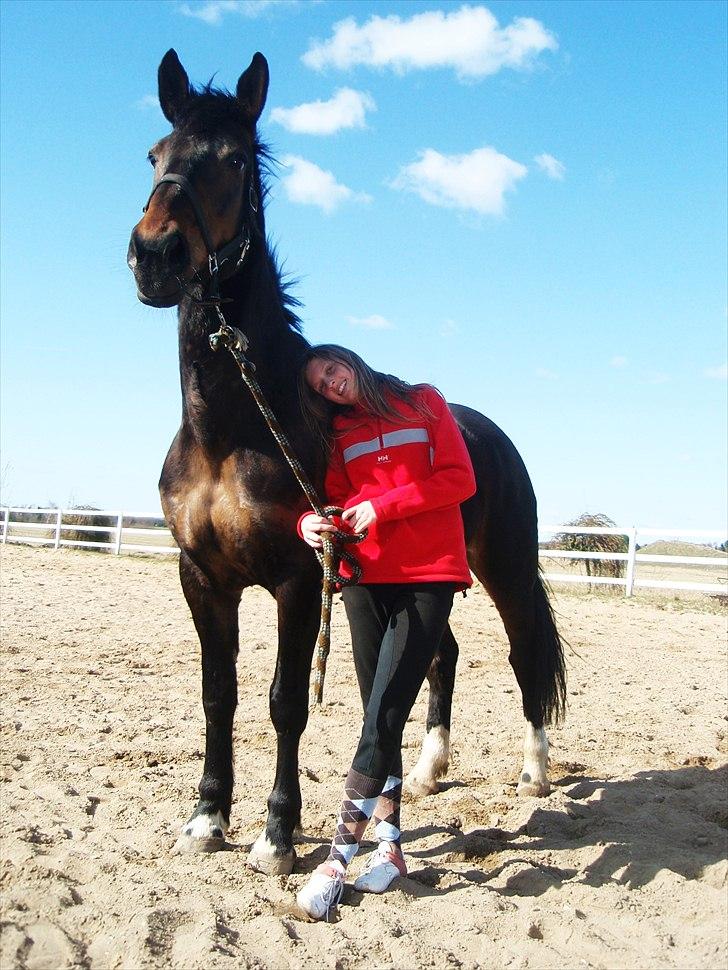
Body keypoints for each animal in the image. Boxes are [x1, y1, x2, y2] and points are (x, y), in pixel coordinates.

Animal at [127, 49, 566, 875]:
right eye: (155, 154)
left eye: (234, 159)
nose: (156, 255)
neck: (232, 429)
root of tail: (489, 432)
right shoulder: (203, 577)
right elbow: (217, 693)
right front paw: (207, 818)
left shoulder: (301, 577)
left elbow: (284, 701)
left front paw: (276, 834)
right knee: (441, 656)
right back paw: (425, 773)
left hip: (508, 567)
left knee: (524, 651)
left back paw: (533, 773)